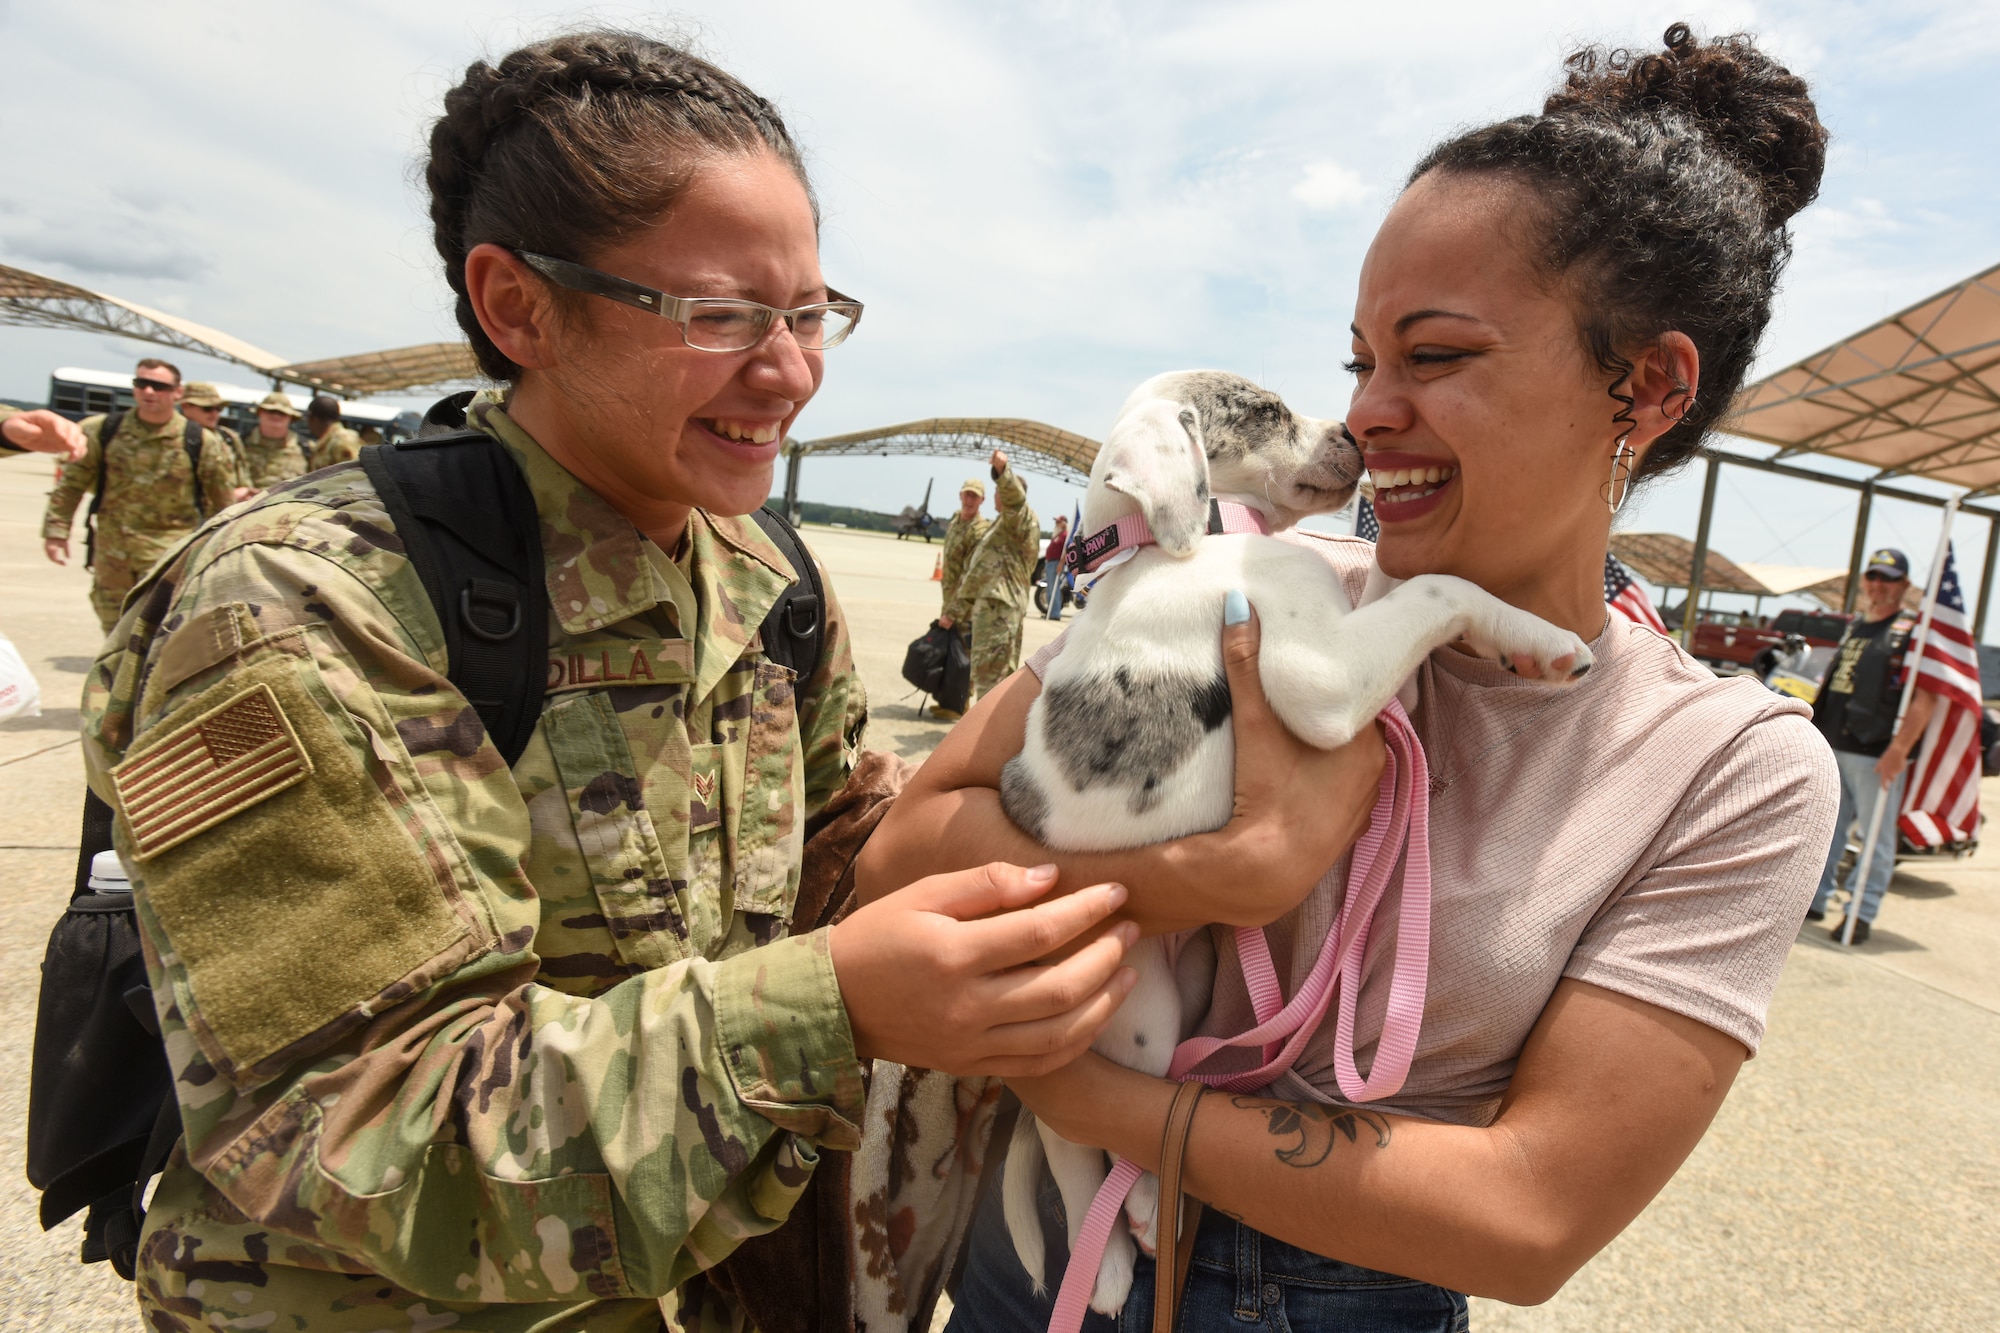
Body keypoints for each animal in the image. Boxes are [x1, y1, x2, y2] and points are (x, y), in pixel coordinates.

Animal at [1000, 368, 1592, 1312]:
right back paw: (1119, 1254)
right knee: (1076, 1134)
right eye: (1267, 410)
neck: (1179, 545)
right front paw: (1546, 637)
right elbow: (1439, 585)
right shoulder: (1319, 681)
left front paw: (1520, 642)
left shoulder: (1352, 642)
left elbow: (1399, 587)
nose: (1354, 432)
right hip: (1135, 1014)